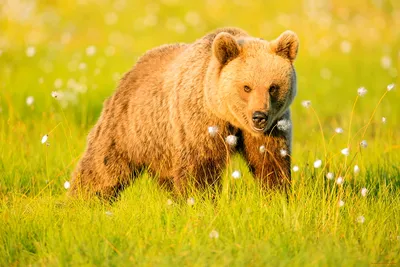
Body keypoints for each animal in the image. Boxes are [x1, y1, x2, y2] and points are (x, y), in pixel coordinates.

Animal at [70, 27, 298, 200]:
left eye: (273, 87)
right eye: (246, 87)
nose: (259, 116)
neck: (226, 114)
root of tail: (133, 68)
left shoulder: (273, 127)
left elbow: (270, 160)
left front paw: (277, 196)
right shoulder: (198, 121)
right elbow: (199, 167)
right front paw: (201, 201)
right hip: (129, 126)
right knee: (103, 167)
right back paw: (81, 201)